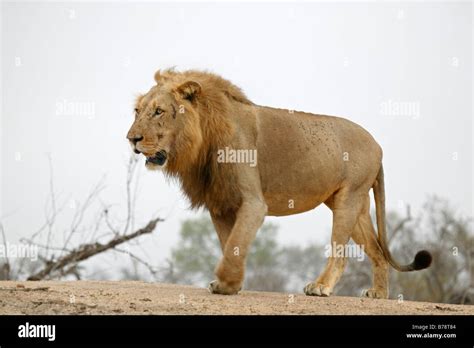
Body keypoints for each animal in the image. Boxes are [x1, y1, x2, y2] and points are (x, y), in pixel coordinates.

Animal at [128, 68, 432, 300]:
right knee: (378, 251)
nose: (131, 139)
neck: (202, 140)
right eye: (137, 111)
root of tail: (377, 145)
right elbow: (230, 244)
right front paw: (231, 285)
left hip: (350, 198)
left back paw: (320, 286)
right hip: (352, 204)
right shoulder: (221, 204)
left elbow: (236, 240)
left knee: (340, 252)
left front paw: (226, 283)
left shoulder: (253, 202)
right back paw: (379, 293)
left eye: (158, 111)